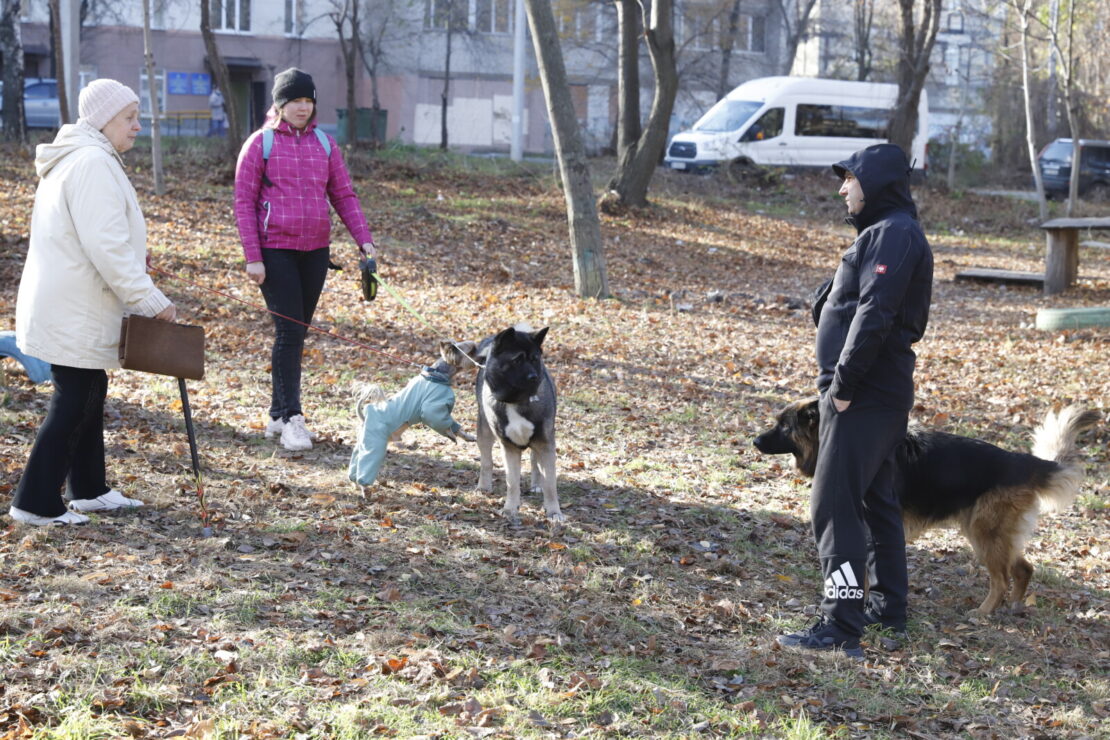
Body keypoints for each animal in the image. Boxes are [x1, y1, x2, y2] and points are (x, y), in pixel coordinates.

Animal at [348, 341, 479, 492]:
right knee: (366, 463)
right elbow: (444, 424)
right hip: (375, 442)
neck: (437, 375)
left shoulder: (444, 413)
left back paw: (355, 484)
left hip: (362, 443)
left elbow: (455, 427)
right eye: (471, 350)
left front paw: (468, 437)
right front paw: (452, 436)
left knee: (355, 463)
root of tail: (364, 417)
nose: (481, 355)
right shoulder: (432, 409)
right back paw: (365, 489)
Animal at [477, 321, 563, 521]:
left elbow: (550, 483)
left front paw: (554, 511)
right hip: (483, 432)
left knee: (535, 461)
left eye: (534, 359)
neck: (515, 400)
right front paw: (510, 509)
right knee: (486, 460)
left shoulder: (545, 443)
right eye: (517, 360)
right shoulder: (509, 448)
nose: (534, 377)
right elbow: (512, 481)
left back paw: (537, 484)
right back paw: (484, 486)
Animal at [750, 401, 1096, 616]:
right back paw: (1013, 607)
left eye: (783, 426)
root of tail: (1022, 461)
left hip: (984, 534)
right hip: (992, 534)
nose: (754, 441)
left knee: (1001, 579)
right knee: (1024, 568)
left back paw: (984, 611)